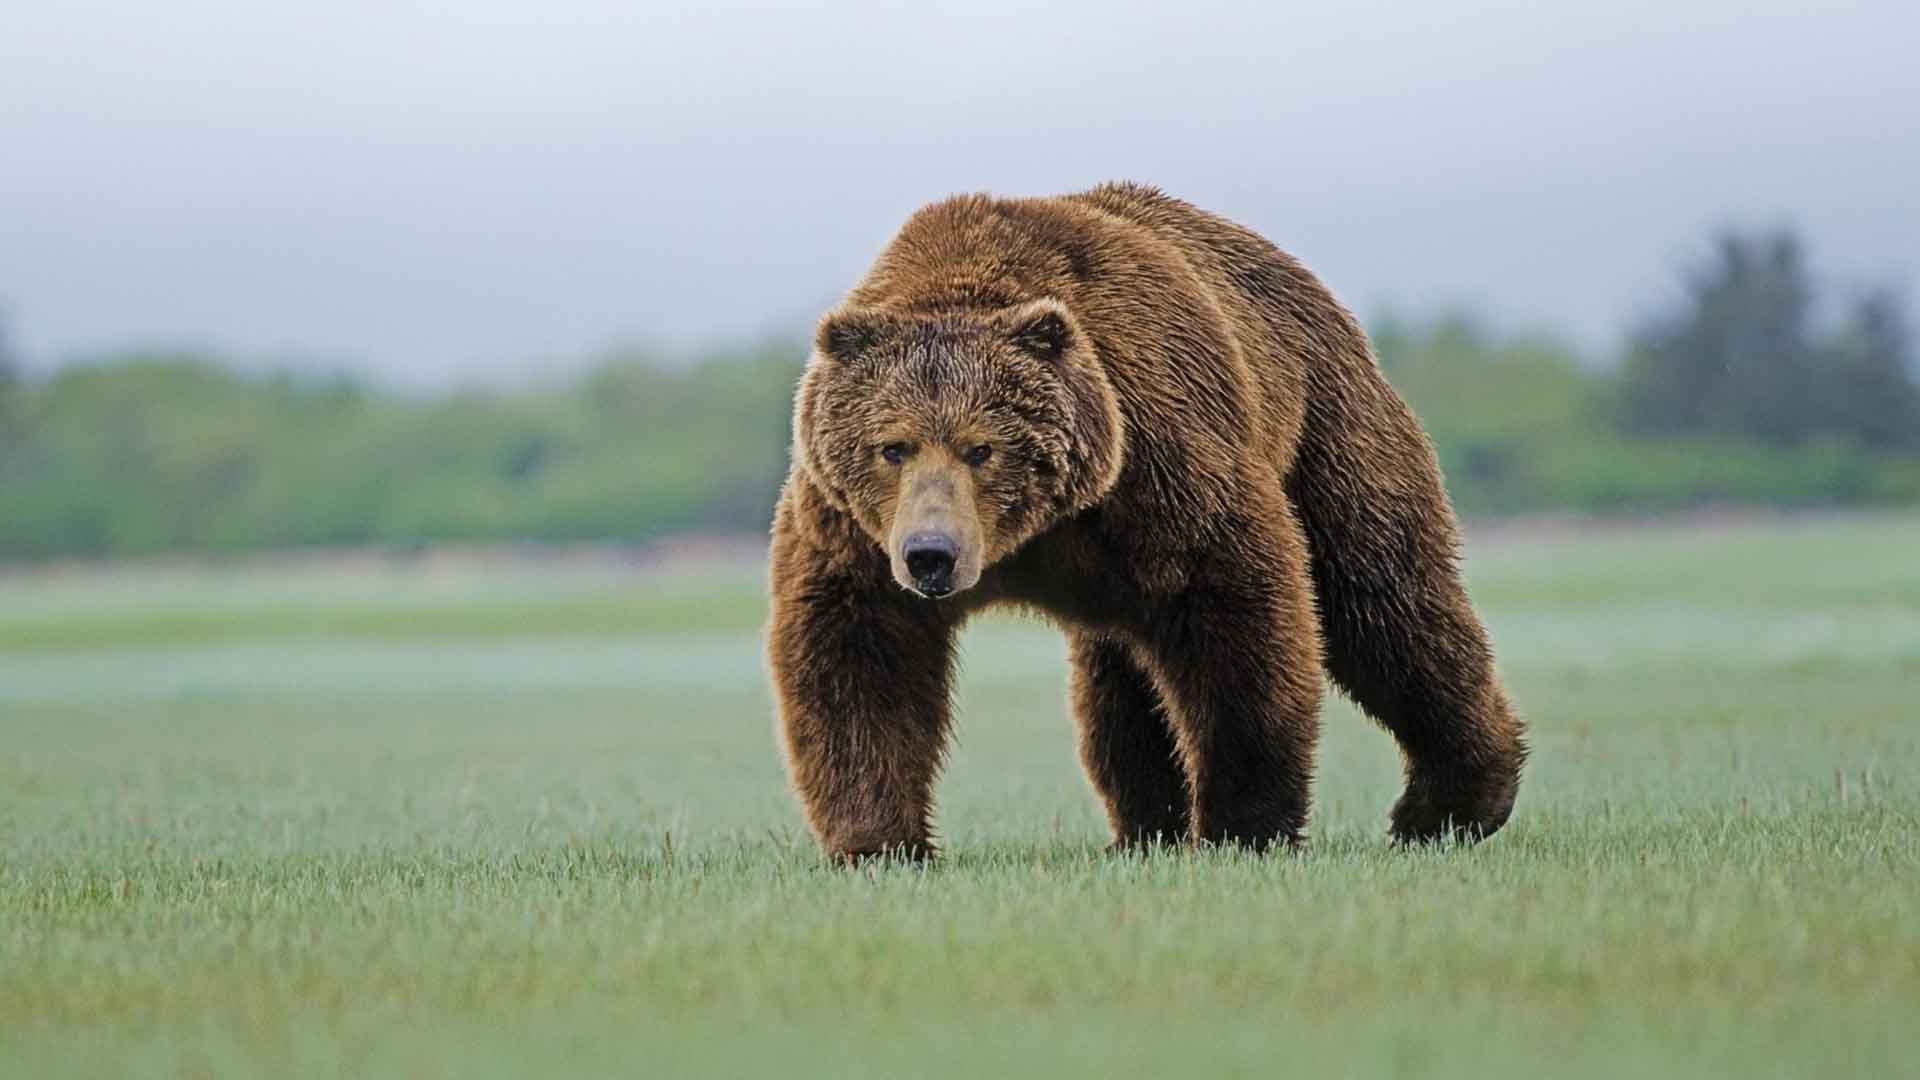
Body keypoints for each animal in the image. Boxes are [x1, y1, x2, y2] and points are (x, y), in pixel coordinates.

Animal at [764, 182, 1528, 857]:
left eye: (982, 447)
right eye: (892, 445)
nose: (932, 554)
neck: (1035, 535)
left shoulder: (1160, 462)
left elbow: (1239, 619)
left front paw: (1242, 826)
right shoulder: (852, 530)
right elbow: (860, 656)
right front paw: (879, 841)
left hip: (1326, 425)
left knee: (1384, 600)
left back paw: (1450, 805)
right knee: (1120, 684)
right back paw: (1143, 829)